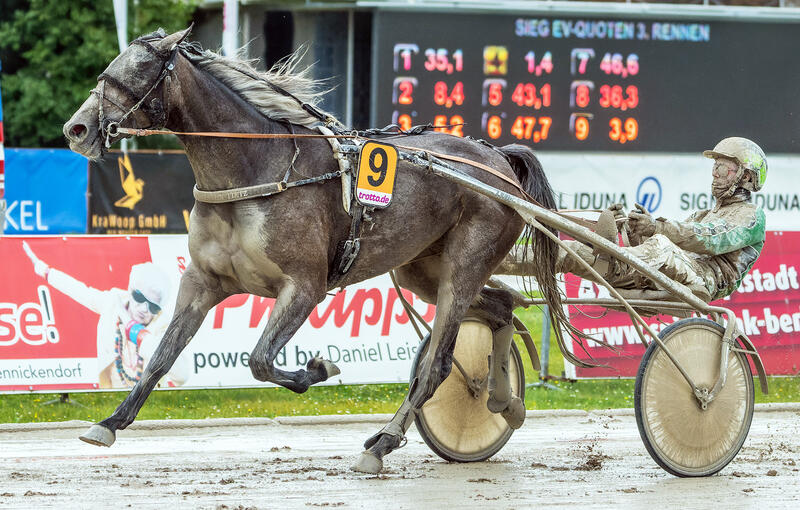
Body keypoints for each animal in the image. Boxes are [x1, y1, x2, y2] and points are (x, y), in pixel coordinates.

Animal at [61, 26, 564, 474]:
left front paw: (318, 368)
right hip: (421, 268)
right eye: (108, 69)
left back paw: (384, 442)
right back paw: (502, 399)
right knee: (501, 306)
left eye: (134, 73)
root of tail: (499, 159)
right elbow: (162, 355)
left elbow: (260, 360)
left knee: (438, 364)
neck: (256, 170)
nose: (76, 128)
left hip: (464, 263)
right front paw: (109, 422)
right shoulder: (202, 282)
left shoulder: (304, 286)